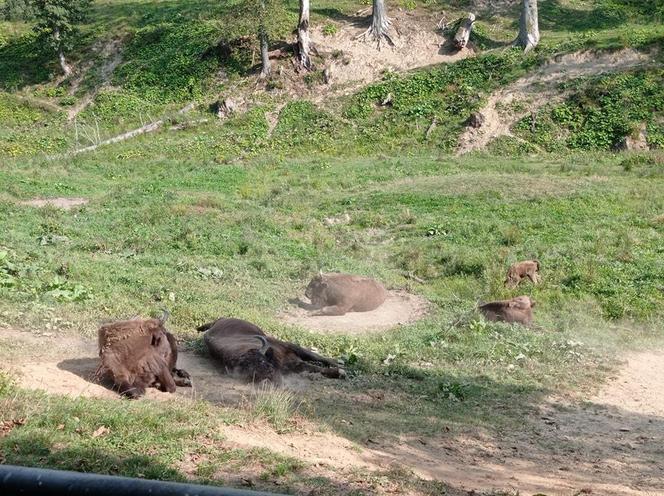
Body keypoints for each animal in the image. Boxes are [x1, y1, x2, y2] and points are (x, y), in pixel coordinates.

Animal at [197, 318, 344, 384]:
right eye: (251, 374)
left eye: (262, 361)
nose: (269, 375)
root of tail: (219, 320)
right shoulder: (295, 364)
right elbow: (313, 367)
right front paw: (338, 372)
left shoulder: (290, 347)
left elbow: (317, 358)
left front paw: (339, 366)